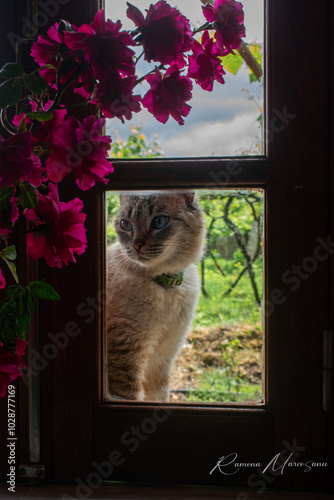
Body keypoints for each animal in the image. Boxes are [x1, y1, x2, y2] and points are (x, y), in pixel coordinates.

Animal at [107, 191, 206, 402]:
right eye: (125, 224)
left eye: (159, 221)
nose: (136, 244)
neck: (168, 287)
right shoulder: (125, 354)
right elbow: (132, 396)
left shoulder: (162, 357)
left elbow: (159, 398)